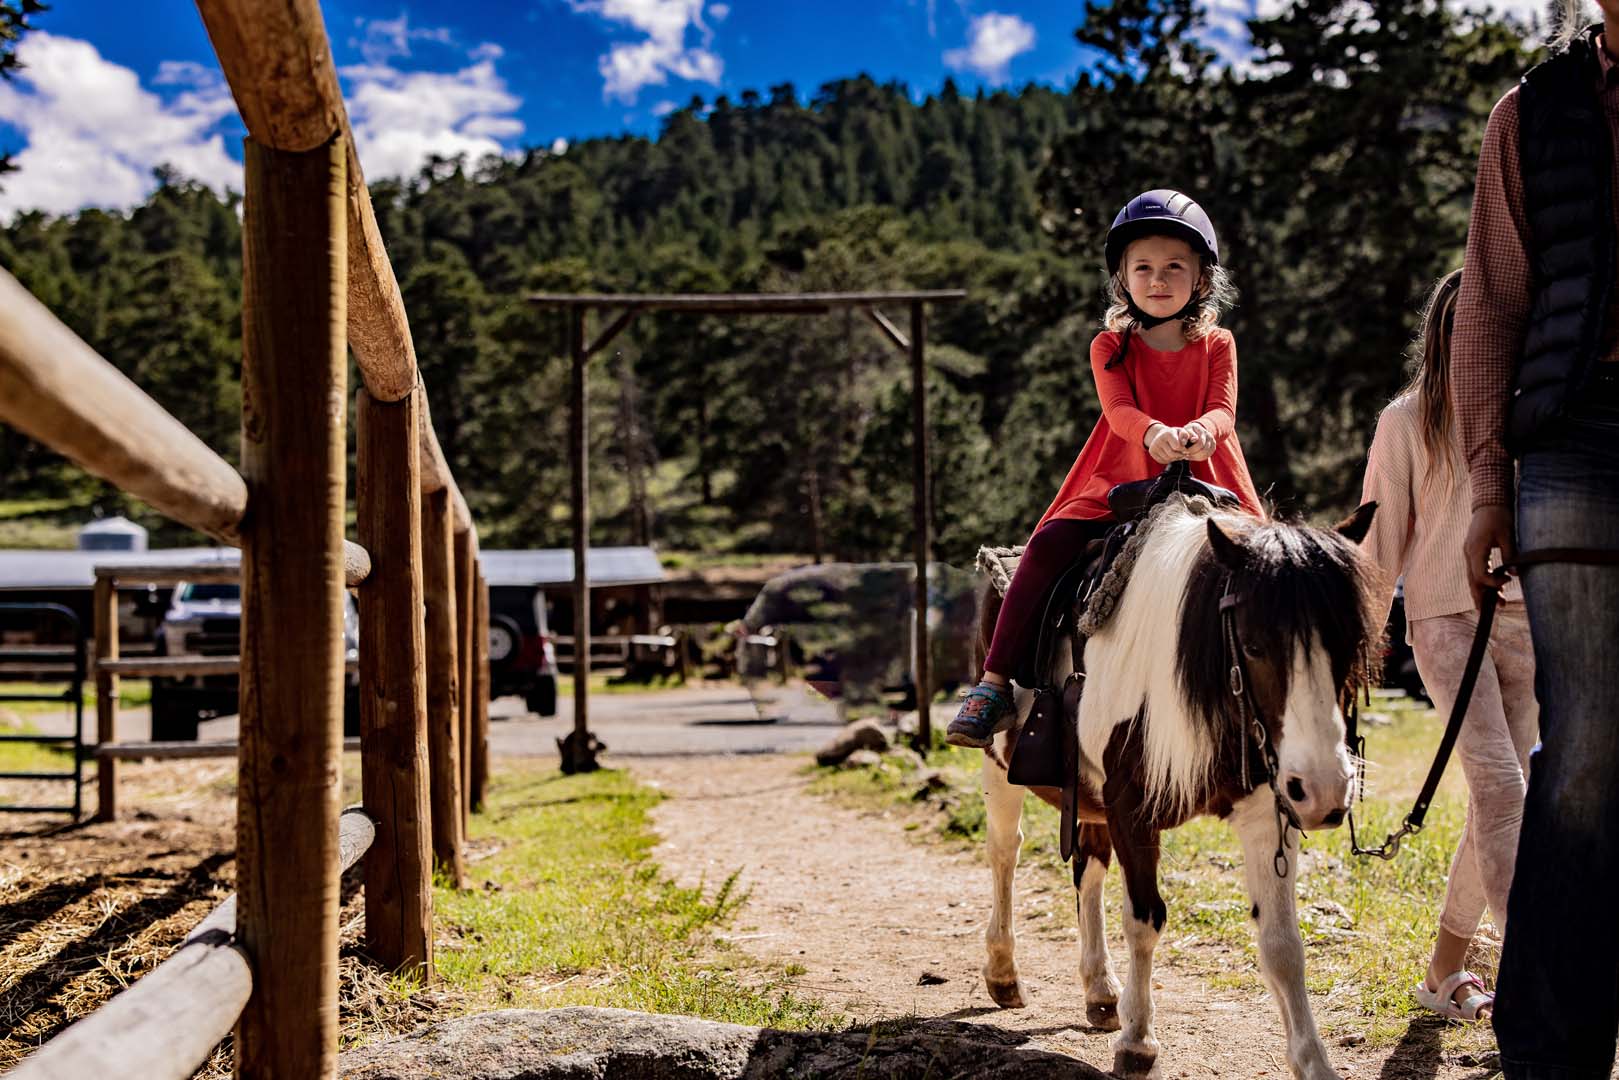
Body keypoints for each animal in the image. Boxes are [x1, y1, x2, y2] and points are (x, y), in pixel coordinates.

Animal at [971, 498, 1379, 1080]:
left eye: (1351, 645)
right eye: (1254, 645)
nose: (1324, 790)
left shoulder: (1267, 812)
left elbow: (1282, 943)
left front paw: (1314, 1062)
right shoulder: (1131, 810)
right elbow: (1144, 920)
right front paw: (1138, 1041)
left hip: (1090, 800)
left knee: (1088, 870)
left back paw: (1100, 989)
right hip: (1000, 766)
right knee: (1005, 853)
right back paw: (1004, 972)